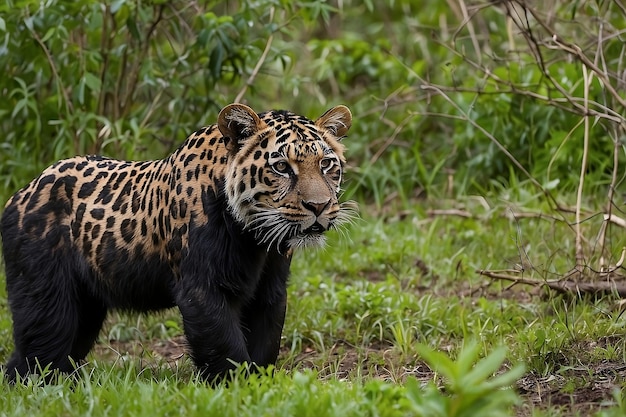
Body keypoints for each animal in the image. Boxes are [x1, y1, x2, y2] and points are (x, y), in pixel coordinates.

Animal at [0, 102, 352, 382]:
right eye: (281, 167)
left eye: (326, 164)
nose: (318, 206)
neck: (254, 241)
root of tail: (21, 193)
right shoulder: (201, 289)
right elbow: (225, 345)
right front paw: (237, 387)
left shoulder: (270, 290)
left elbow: (266, 340)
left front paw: (260, 383)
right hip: (45, 298)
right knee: (39, 353)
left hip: (85, 307)